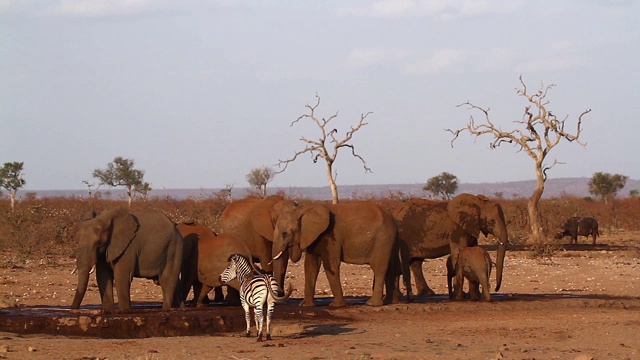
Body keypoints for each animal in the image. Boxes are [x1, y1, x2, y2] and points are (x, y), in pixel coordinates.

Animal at [268, 200, 410, 306]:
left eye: (285, 233)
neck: (303, 209)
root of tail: (393, 220)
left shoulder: (330, 236)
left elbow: (330, 265)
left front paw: (336, 306)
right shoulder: (313, 237)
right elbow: (310, 266)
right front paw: (305, 305)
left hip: (383, 239)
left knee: (379, 268)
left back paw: (372, 304)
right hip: (391, 240)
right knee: (391, 268)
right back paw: (390, 301)